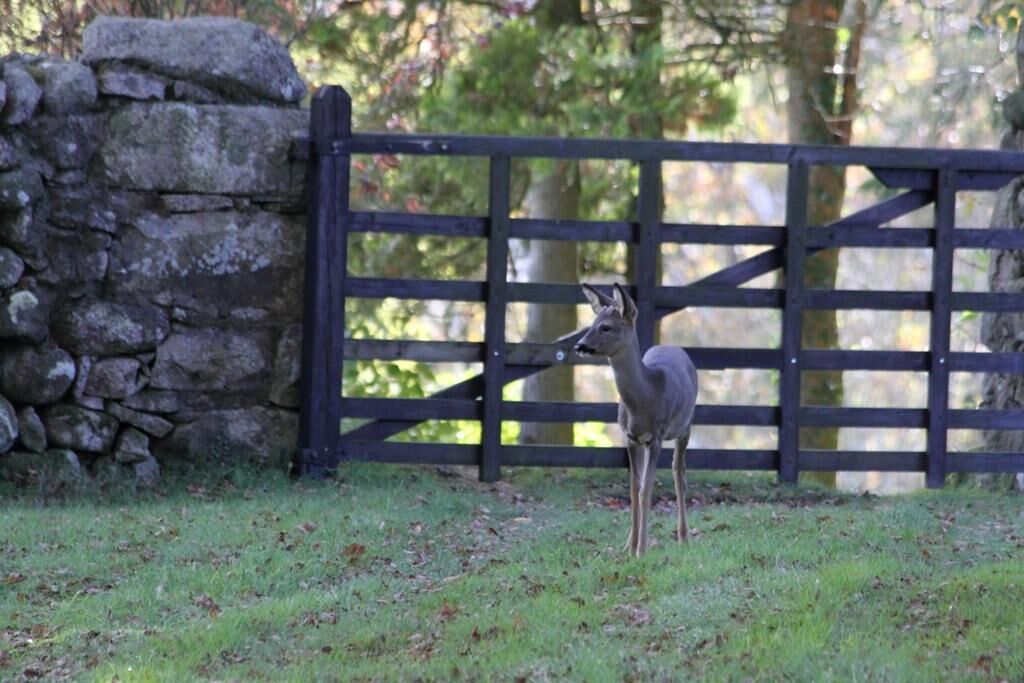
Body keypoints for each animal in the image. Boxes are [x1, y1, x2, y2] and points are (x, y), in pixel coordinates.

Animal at [574, 283, 698, 557]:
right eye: (592, 322)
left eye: (606, 327)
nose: (579, 345)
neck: (645, 397)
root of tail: (674, 347)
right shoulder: (630, 437)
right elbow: (633, 488)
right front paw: (628, 547)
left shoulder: (656, 436)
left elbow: (646, 489)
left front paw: (641, 550)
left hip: (686, 425)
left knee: (679, 474)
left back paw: (684, 537)